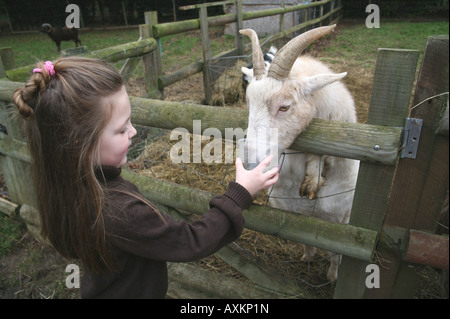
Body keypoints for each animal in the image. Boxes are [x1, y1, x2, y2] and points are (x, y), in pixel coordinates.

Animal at [241, 25, 360, 282]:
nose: (249, 164)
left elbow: (337, 253)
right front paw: (308, 257)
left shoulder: (344, 220)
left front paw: (333, 276)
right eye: (248, 103)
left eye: (284, 106)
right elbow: (304, 239)